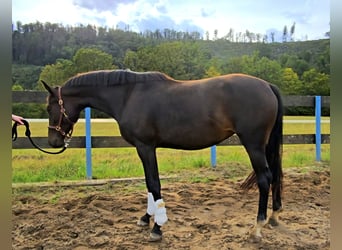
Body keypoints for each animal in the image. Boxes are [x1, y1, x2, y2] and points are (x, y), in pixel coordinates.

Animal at [42, 70, 284, 242]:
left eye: (49, 108)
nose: (53, 142)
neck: (129, 95)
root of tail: (267, 86)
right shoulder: (145, 149)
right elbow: (149, 184)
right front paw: (145, 218)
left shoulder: (146, 147)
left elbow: (154, 183)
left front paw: (157, 228)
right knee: (274, 176)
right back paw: (274, 216)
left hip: (253, 144)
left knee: (264, 178)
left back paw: (257, 228)